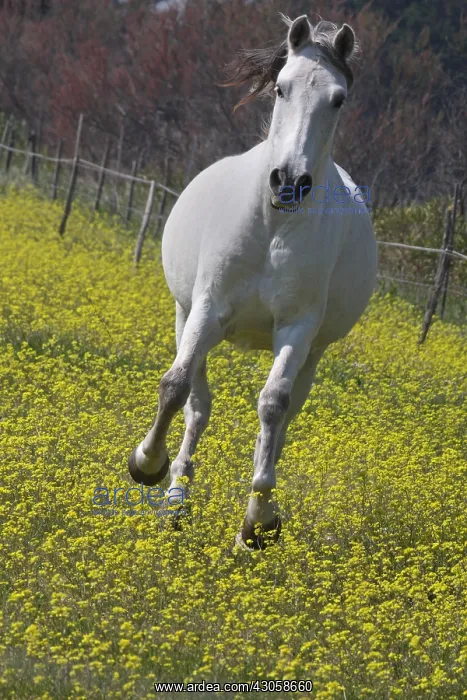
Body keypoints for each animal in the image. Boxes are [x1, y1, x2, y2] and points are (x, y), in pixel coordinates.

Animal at [128, 13, 378, 550]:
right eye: (281, 88)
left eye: (338, 99)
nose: (289, 181)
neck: (273, 224)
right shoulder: (207, 309)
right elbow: (175, 387)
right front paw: (146, 464)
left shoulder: (298, 330)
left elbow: (273, 406)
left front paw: (258, 522)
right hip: (187, 317)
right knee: (197, 406)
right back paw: (175, 500)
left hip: (314, 353)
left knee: (283, 417)